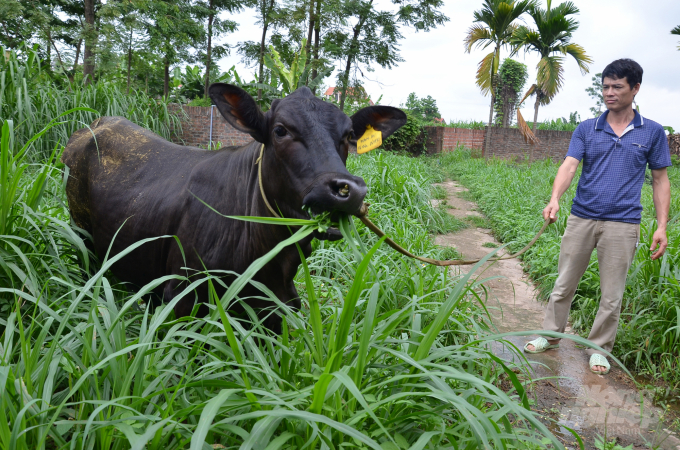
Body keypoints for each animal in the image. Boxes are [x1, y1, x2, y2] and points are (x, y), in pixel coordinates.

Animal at [61, 83, 406, 330]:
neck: (271, 262)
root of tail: (98, 122)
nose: (348, 189)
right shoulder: (181, 297)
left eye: (348, 136)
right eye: (280, 130)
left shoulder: (280, 308)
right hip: (82, 236)